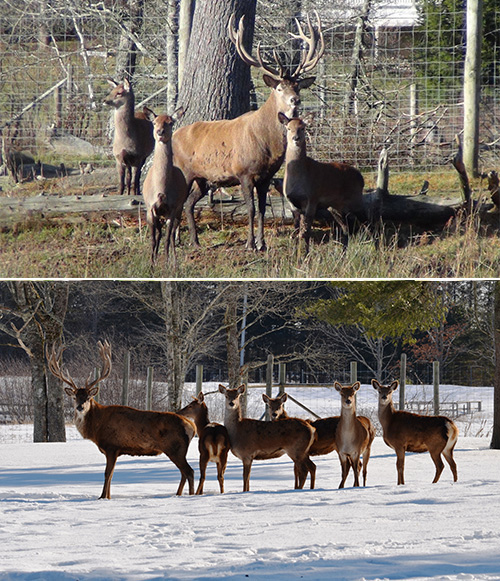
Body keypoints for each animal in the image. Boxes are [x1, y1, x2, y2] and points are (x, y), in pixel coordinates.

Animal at [47, 340, 195, 498]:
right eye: (75, 397)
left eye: (88, 397)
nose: (80, 407)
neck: (96, 428)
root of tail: (192, 426)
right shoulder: (116, 450)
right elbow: (111, 475)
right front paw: (108, 496)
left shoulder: (111, 446)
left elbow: (107, 474)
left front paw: (102, 497)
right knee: (184, 473)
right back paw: (178, 494)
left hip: (175, 448)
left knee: (189, 471)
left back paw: (192, 495)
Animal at [143, 107, 188, 266]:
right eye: (154, 122)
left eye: (170, 122)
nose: (160, 132)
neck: (161, 189)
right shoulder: (150, 208)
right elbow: (153, 239)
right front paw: (152, 263)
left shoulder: (172, 208)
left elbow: (168, 238)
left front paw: (167, 262)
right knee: (160, 233)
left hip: (180, 207)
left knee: (173, 232)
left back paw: (174, 260)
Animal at [174, 12, 324, 250]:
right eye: (279, 88)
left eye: (298, 87)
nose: (295, 100)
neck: (267, 144)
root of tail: (173, 135)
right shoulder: (243, 172)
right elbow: (251, 209)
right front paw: (250, 244)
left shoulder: (266, 177)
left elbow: (262, 209)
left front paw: (262, 243)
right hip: (184, 171)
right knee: (177, 201)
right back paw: (177, 240)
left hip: (203, 179)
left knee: (188, 204)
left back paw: (194, 242)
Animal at [278, 112, 364, 253]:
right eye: (288, 128)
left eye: (302, 128)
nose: (296, 138)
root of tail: (361, 178)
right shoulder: (292, 203)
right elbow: (297, 232)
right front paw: (297, 253)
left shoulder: (312, 199)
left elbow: (305, 233)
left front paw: (305, 255)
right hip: (336, 206)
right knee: (346, 228)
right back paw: (343, 252)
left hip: (355, 200)